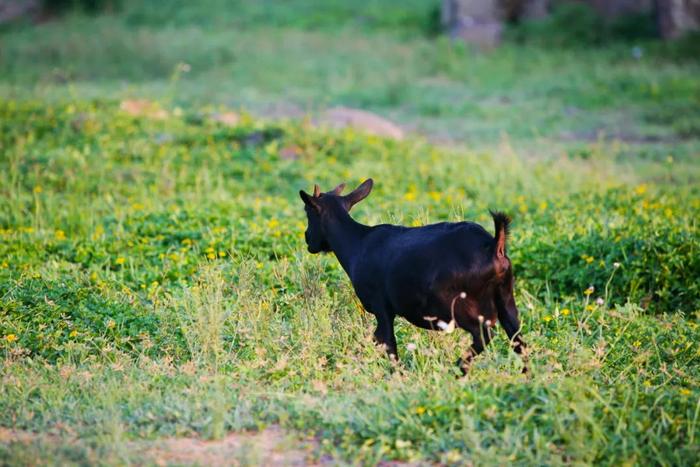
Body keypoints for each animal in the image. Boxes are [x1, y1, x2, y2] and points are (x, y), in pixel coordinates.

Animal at [298, 177, 528, 374]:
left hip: (457, 305)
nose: (308, 239)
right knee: (517, 339)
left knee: (484, 333)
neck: (357, 244)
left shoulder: (381, 307)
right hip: (506, 298)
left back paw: (457, 370)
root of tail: (494, 247)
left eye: (308, 212)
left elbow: (387, 344)